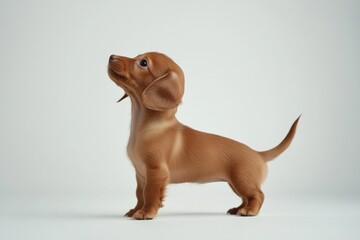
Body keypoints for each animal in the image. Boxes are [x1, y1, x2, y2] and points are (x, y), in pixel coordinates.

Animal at [107, 52, 300, 219]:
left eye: (143, 63)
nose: (111, 56)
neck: (147, 127)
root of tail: (258, 154)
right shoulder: (141, 174)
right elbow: (139, 194)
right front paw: (135, 210)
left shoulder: (156, 172)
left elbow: (150, 194)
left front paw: (146, 212)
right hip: (235, 183)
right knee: (246, 197)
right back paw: (238, 209)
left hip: (243, 181)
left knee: (257, 195)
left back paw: (249, 211)